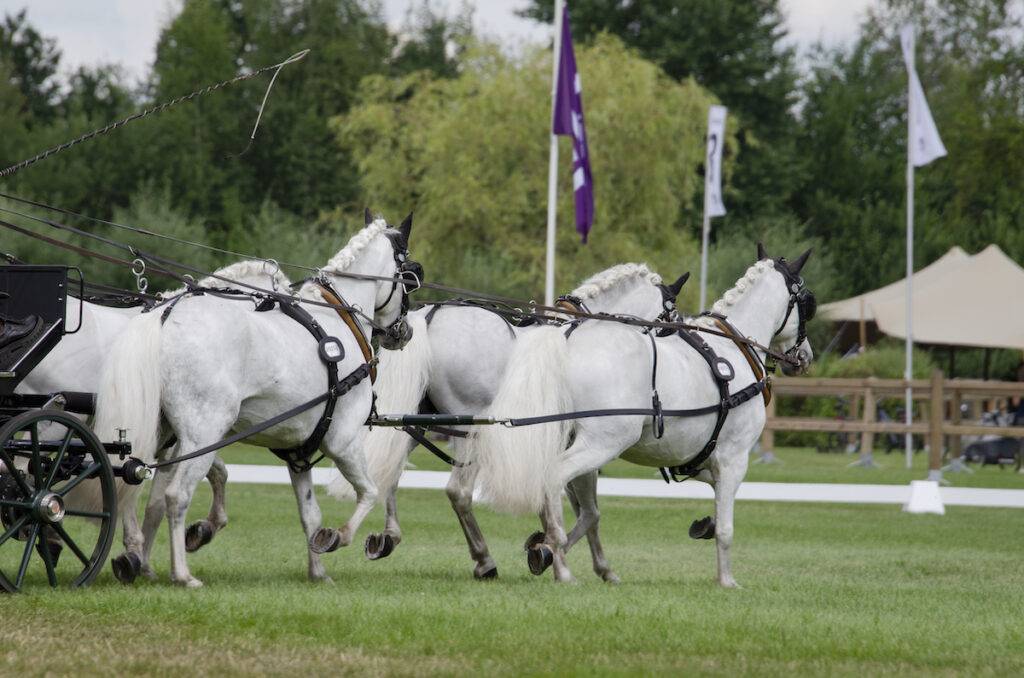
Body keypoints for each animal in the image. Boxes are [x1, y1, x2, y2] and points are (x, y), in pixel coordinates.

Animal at [91, 212, 420, 587]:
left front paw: (318, 571)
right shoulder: (344, 440)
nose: (403, 332)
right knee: (176, 496)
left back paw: (139, 562)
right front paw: (336, 538)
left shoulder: (299, 453)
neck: (339, 320)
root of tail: (165, 316)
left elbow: (310, 514)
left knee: (142, 490)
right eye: (411, 273)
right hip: (203, 435)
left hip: (164, 437)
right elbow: (368, 492)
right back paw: (182, 575)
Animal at [328, 263, 689, 581]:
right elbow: (588, 512)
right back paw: (484, 560)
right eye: (670, 315)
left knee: (390, 471)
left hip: (415, 421)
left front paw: (551, 548)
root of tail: (429, 316)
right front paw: (563, 556)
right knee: (458, 492)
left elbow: (575, 506)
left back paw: (388, 537)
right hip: (470, 429)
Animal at [467, 245, 815, 587]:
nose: (805, 356)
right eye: (807, 303)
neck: (734, 349)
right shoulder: (734, 458)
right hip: (602, 443)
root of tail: (564, 344)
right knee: (550, 479)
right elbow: (726, 528)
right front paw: (726, 580)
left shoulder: (700, 457)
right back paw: (558, 567)